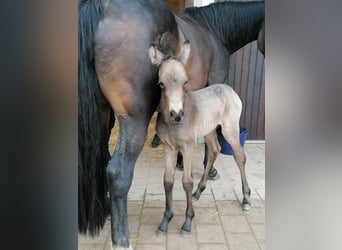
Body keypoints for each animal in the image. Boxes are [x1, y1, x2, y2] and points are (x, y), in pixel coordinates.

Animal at [79, 0, 264, 248]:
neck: (215, 29)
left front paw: (181, 164)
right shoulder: (216, 82)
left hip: (101, 115)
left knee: (100, 160)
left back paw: (107, 210)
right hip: (133, 120)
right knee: (118, 172)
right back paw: (121, 239)